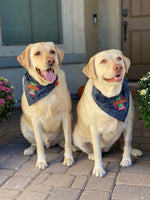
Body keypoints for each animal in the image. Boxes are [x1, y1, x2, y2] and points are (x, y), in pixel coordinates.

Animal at [17, 41, 74, 169]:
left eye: (52, 51)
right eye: (37, 53)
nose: (51, 60)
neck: (46, 87)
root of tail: (50, 142)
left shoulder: (66, 116)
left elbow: (68, 141)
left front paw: (68, 158)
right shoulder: (36, 120)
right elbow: (39, 145)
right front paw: (41, 161)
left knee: (63, 142)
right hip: (24, 126)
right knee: (35, 143)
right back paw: (29, 149)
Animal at [73, 49, 142, 177]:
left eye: (119, 58)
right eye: (103, 61)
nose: (119, 67)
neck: (111, 96)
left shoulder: (129, 124)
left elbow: (127, 144)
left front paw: (126, 159)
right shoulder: (95, 130)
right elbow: (97, 152)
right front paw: (98, 168)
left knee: (121, 145)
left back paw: (134, 151)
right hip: (77, 138)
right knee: (91, 150)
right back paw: (91, 155)